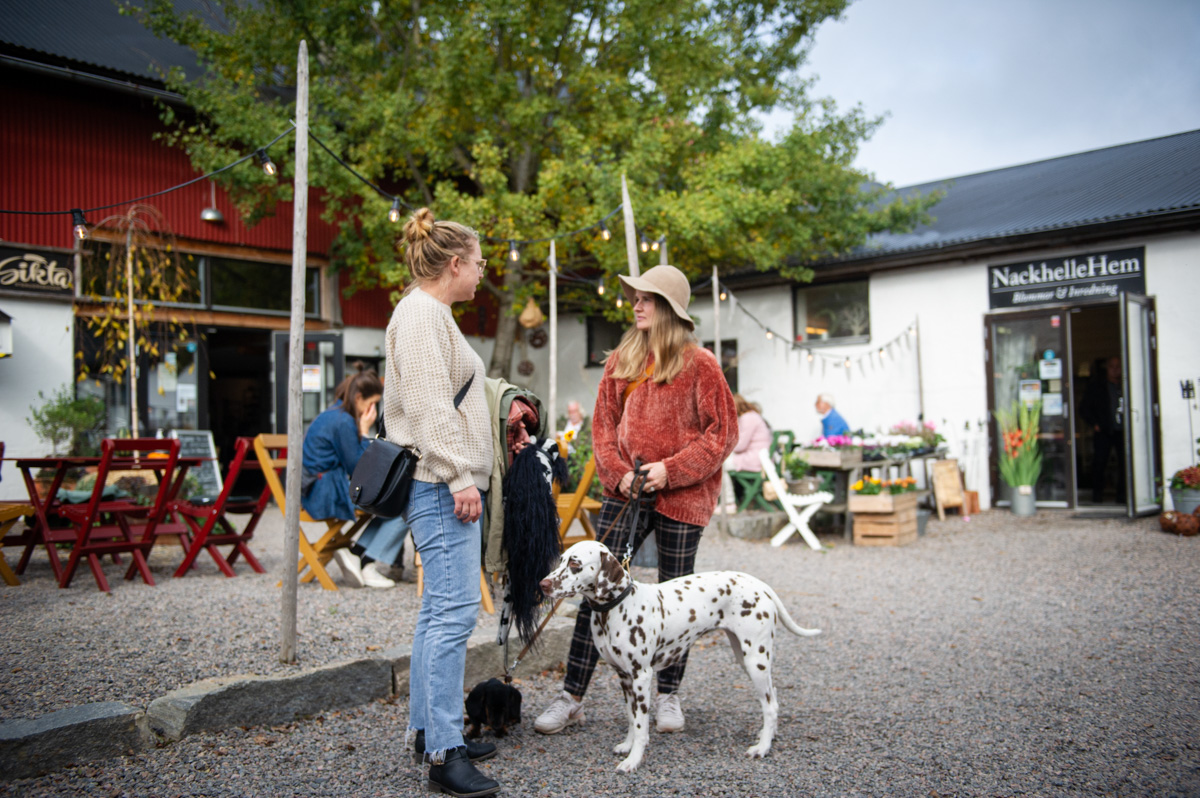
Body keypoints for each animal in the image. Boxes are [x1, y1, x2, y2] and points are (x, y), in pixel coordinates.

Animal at [540, 537, 820, 768]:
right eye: (562, 559)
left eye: (575, 563)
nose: (542, 584)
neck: (617, 608)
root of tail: (760, 585)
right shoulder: (625, 677)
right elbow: (631, 717)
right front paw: (627, 746)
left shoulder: (642, 677)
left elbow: (641, 724)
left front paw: (634, 760)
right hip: (746, 658)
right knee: (774, 698)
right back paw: (767, 736)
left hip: (755, 662)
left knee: (770, 706)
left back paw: (762, 748)